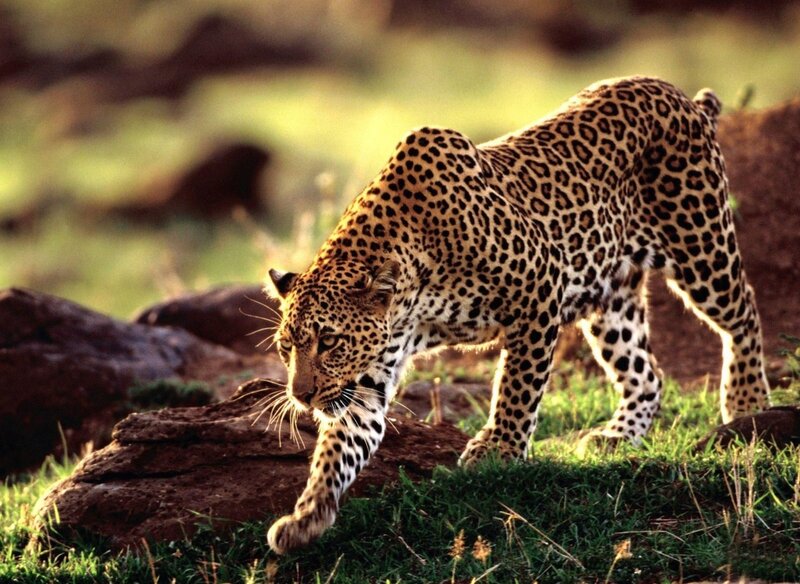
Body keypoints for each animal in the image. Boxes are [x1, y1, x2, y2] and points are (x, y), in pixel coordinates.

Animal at [264, 76, 770, 554]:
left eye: (329, 342)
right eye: (287, 347)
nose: (301, 396)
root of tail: (681, 96)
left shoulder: (540, 287)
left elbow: (517, 386)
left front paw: (499, 449)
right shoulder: (368, 377)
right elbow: (341, 447)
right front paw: (306, 516)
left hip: (701, 247)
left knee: (744, 312)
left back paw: (746, 404)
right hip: (611, 298)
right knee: (646, 373)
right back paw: (618, 436)